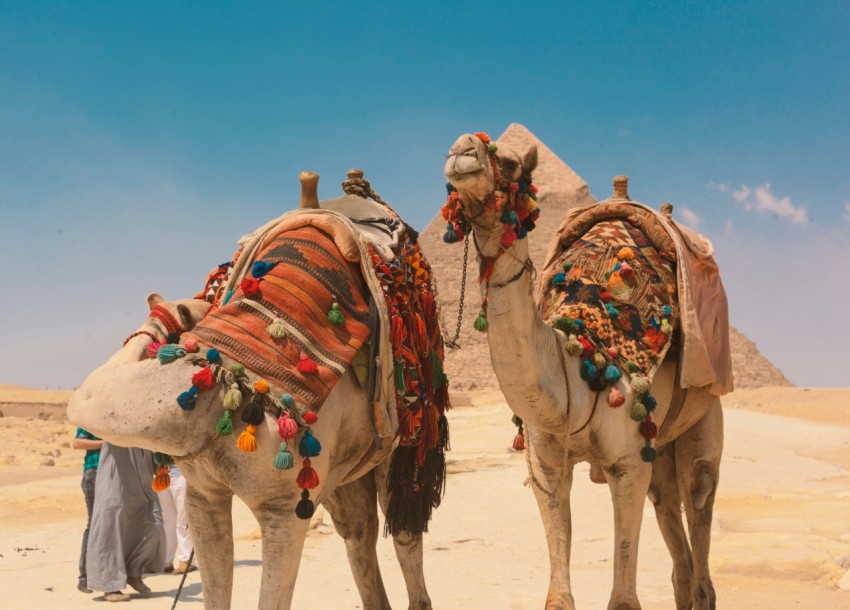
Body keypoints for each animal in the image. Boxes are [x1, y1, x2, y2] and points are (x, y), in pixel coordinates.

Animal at [440, 133, 724, 608]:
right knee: (670, 514)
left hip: (705, 414)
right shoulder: (546, 465)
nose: (461, 151)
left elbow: (624, 599)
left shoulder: (628, 464)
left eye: (512, 164)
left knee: (699, 496)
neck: (580, 365)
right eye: (448, 153)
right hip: (660, 444)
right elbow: (558, 596)